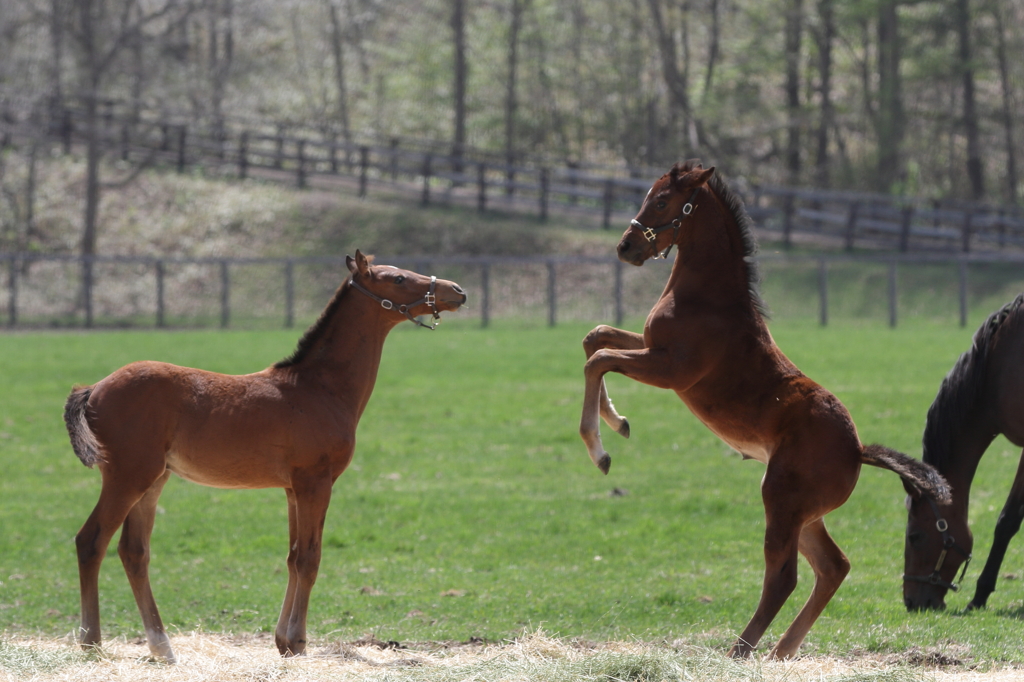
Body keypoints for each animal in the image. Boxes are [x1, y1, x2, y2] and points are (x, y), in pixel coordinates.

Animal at [64, 249, 464, 659]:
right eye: (398, 279)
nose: (457, 290)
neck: (318, 387)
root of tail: (94, 388)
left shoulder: (292, 489)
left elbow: (292, 557)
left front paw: (283, 641)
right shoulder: (315, 482)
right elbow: (309, 558)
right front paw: (298, 642)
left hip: (154, 480)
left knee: (133, 552)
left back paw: (162, 647)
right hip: (128, 476)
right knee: (90, 541)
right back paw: (91, 641)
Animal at [581, 161, 946, 655]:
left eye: (661, 201)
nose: (626, 246)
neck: (709, 297)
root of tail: (857, 450)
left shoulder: (670, 369)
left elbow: (599, 358)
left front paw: (600, 447)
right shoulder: (650, 346)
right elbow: (596, 338)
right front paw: (617, 421)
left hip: (781, 500)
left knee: (785, 576)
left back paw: (741, 650)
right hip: (804, 513)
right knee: (834, 566)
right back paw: (781, 651)